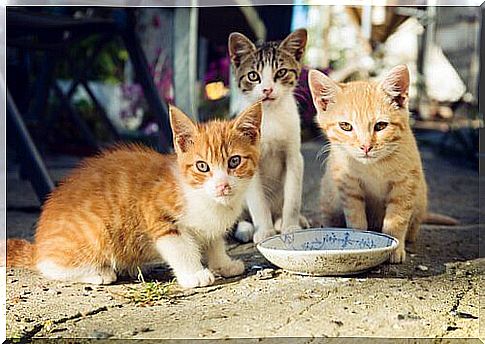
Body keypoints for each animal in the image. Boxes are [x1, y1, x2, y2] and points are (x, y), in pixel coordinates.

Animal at [6, 102, 260, 288]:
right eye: (202, 166)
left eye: (234, 161)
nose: (222, 186)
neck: (202, 196)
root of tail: (39, 245)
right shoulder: (158, 215)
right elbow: (180, 248)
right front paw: (194, 274)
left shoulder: (210, 227)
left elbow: (214, 242)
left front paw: (223, 265)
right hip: (96, 233)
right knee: (48, 265)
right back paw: (99, 273)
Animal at [308, 65, 426, 264]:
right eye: (345, 126)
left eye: (381, 126)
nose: (366, 146)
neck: (373, 166)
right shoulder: (348, 184)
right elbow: (356, 217)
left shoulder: (406, 183)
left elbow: (397, 219)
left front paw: (395, 248)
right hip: (329, 196)